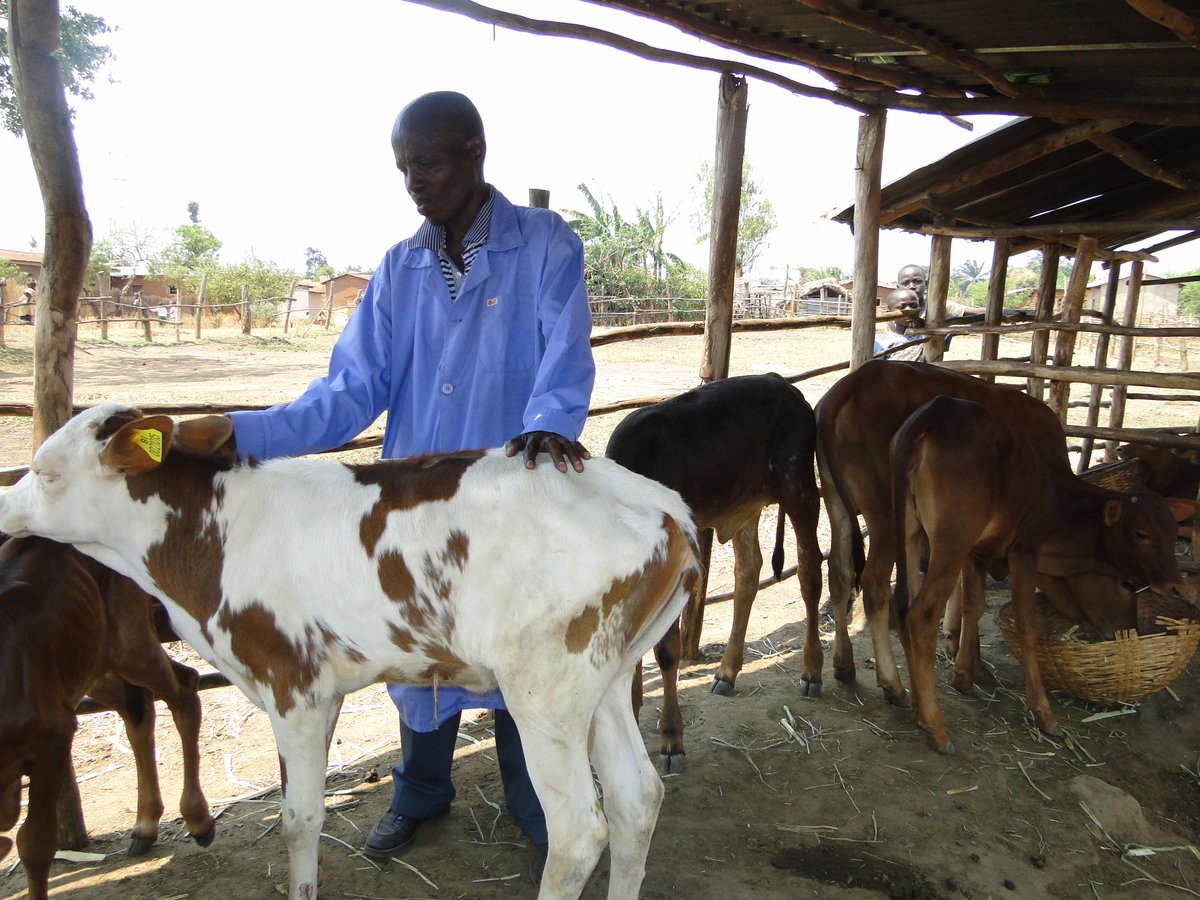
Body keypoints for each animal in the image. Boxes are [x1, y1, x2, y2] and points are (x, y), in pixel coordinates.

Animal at [0, 540, 214, 897]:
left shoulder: (54, 737)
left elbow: (35, 843)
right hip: (94, 664)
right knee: (138, 706)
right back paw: (144, 827)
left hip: (131, 642)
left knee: (184, 686)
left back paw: (198, 822)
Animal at [892, 396, 1190, 753]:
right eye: (1141, 534)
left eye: (1172, 532)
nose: (1176, 585)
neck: (1058, 500)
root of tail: (938, 409)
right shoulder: (1024, 552)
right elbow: (1027, 624)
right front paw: (1044, 715)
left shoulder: (977, 553)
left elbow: (973, 607)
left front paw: (964, 677)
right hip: (951, 542)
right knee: (921, 614)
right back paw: (936, 729)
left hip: (910, 533)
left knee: (902, 606)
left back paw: (918, 711)